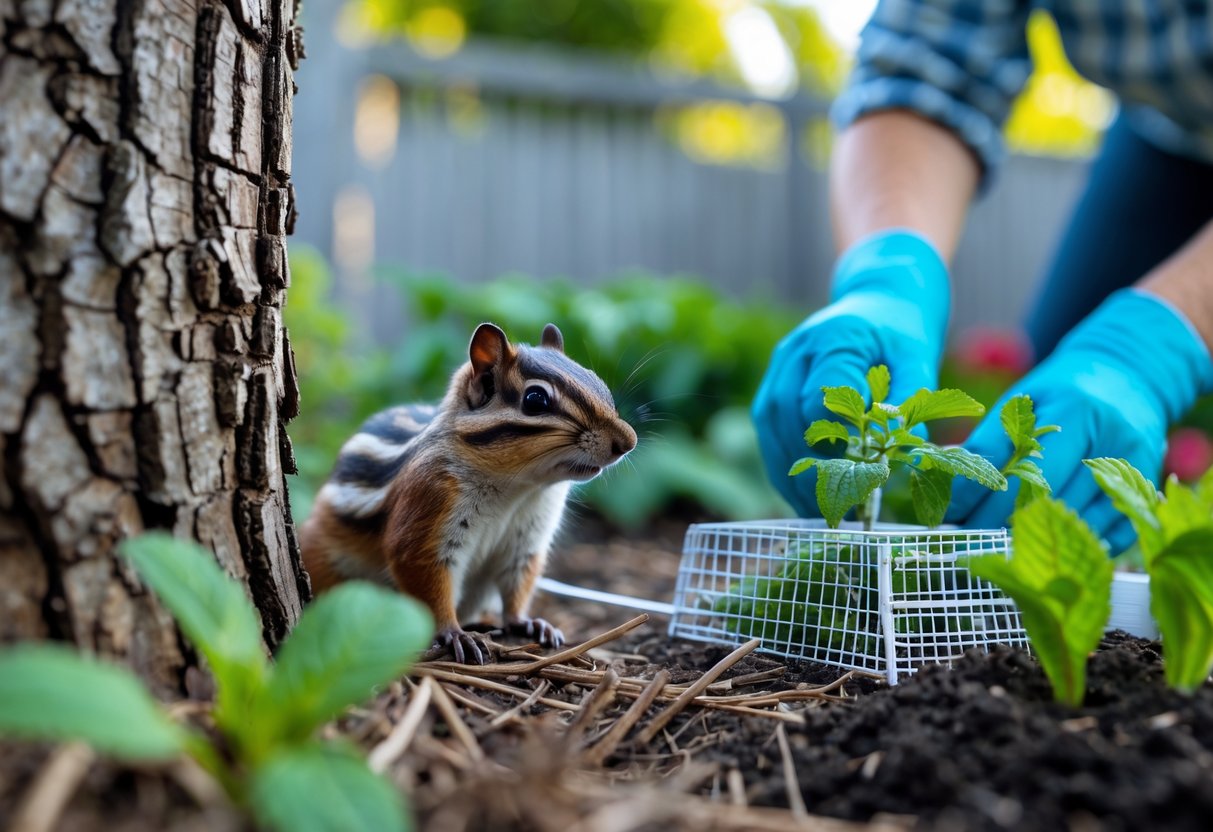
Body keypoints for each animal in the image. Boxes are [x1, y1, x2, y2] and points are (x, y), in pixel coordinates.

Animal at [299, 322, 637, 664]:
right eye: (535, 399)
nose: (628, 441)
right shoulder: (429, 508)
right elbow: (427, 580)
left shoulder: (527, 539)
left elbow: (518, 585)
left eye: (597, 381)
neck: (516, 490)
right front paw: (454, 634)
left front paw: (527, 622)